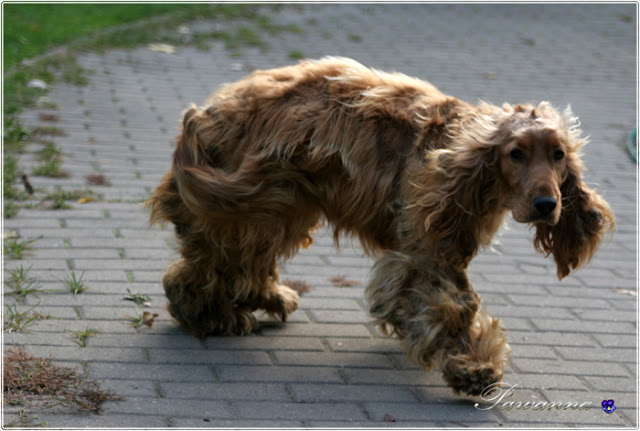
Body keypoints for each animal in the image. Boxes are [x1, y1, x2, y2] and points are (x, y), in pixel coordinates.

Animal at [148, 58, 612, 398]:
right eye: (516, 154)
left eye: (558, 155)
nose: (547, 204)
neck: (467, 156)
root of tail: (205, 112)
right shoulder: (427, 249)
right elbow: (457, 303)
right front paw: (472, 366)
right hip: (252, 200)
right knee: (208, 261)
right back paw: (208, 313)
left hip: (280, 202)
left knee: (236, 258)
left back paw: (258, 298)